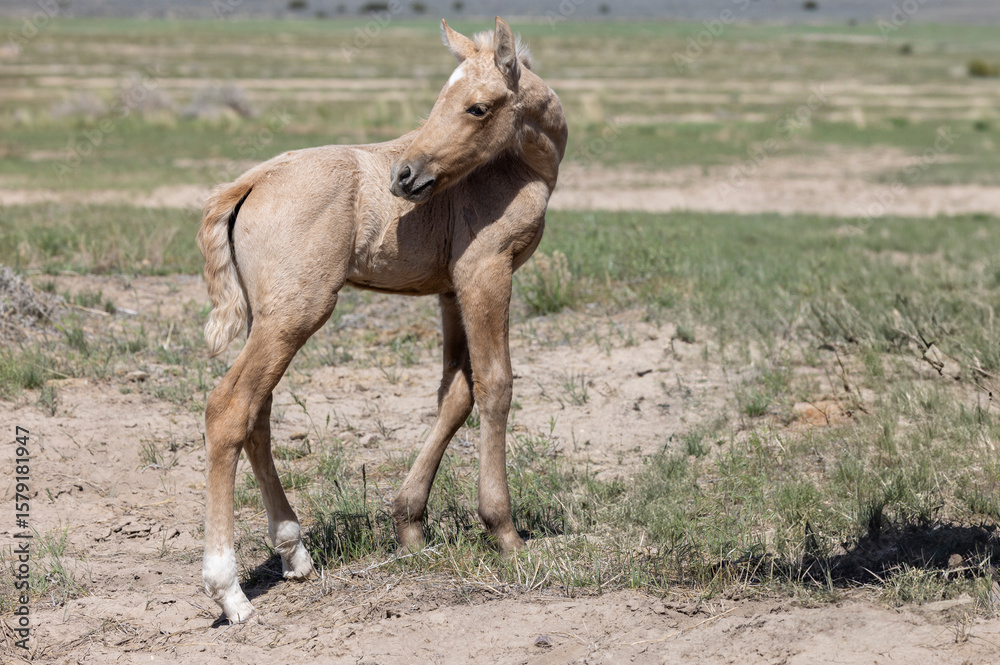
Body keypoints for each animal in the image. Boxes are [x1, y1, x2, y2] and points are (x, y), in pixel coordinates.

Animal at [197, 16, 567, 622]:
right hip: (297, 313)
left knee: (258, 413)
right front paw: (505, 531)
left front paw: (410, 525)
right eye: (444, 100)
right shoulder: (486, 275)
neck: (518, 166)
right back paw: (229, 591)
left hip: (269, 318)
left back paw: (294, 551)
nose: (405, 177)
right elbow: (495, 385)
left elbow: (455, 393)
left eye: (477, 107)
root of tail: (251, 182)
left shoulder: (449, 291)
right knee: (230, 408)